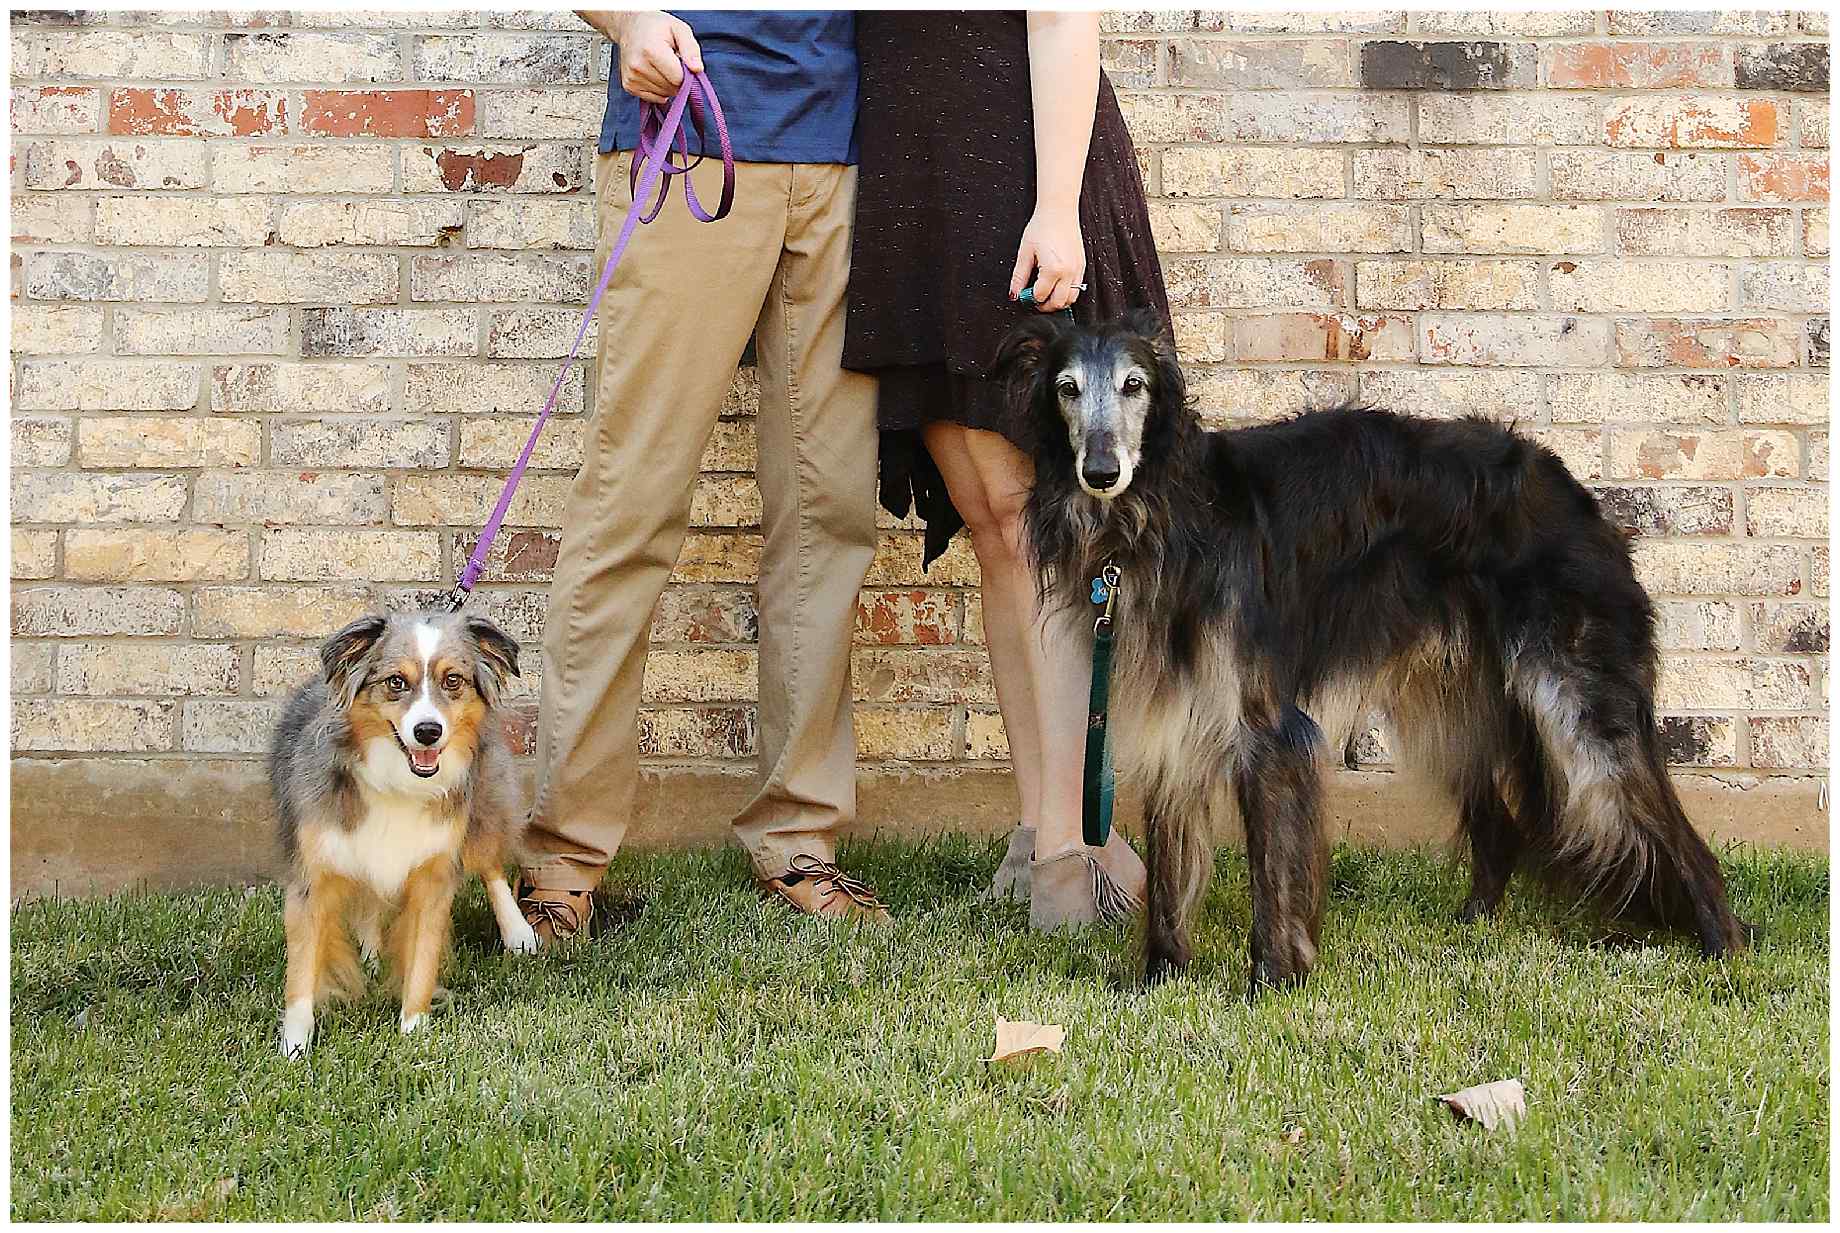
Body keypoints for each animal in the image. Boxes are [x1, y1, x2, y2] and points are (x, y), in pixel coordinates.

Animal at [268, 614, 537, 1060]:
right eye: (396, 682)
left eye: (452, 680)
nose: (428, 731)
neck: (397, 781)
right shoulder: (313, 877)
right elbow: (302, 971)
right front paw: (295, 1046)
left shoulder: (435, 873)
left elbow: (422, 959)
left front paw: (414, 1031)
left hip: (482, 802)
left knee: (489, 862)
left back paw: (518, 933)